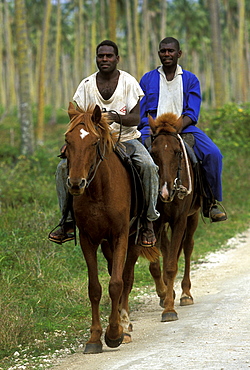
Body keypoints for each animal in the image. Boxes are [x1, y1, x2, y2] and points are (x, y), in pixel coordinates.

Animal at [64, 102, 156, 354]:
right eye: (67, 140)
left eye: (94, 142)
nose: (76, 183)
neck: (98, 189)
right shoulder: (88, 239)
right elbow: (94, 288)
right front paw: (94, 337)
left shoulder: (120, 235)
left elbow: (116, 283)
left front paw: (114, 333)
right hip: (106, 245)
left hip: (133, 240)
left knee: (127, 277)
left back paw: (125, 324)